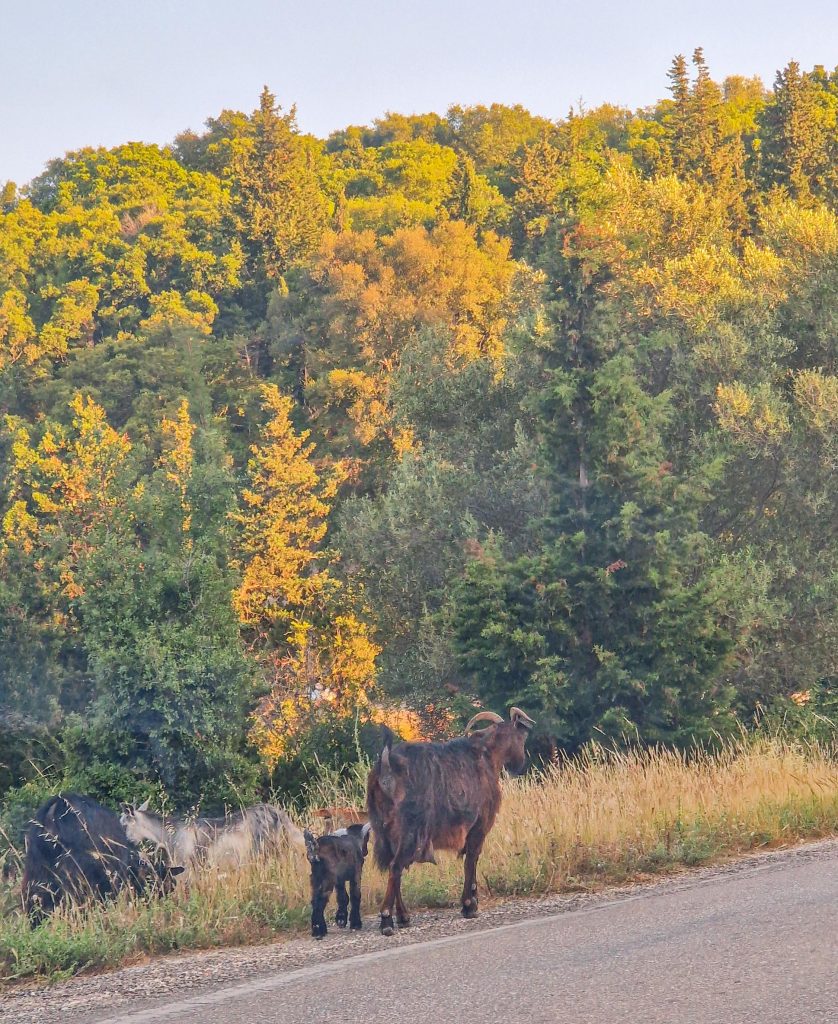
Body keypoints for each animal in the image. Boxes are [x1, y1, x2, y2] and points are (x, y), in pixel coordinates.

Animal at [364, 704, 536, 937]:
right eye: (521, 737)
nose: (520, 764)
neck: (487, 756)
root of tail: (386, 766)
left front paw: (472, 902)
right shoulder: (479, 826)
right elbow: (471, 860)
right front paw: (469, 905)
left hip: (385, 830)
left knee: (395, 867)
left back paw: (403, 916)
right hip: (409, 832)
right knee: (395, 867)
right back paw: (387, 921)